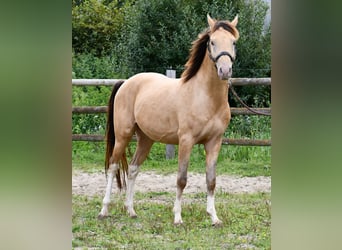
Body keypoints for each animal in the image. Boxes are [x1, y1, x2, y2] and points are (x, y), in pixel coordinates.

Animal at [97, 13, 239, 226]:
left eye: (233, 42)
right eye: (212, 42)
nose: (225, 70)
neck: (205, 97)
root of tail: (126, 83)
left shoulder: (214, 142)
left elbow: (211, 180)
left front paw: (214, 217)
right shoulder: (186, 141)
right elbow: (181, 179)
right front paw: (178, 217)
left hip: (146, 139)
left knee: (133, 169)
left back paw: (131, 210)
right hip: (123, 136)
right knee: (113, 167)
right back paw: (104, 210)